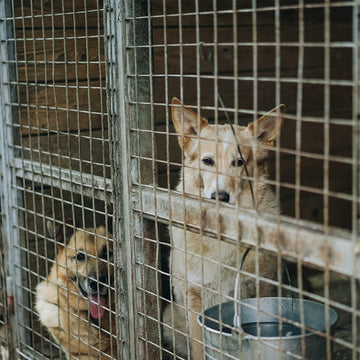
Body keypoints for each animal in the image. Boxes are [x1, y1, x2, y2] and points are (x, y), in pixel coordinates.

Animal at [162, 97, 284, 358]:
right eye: (207, 161)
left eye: (239, 163)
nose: (220, 196)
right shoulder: (193, 297)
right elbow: (199, 348)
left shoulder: (262, 290)